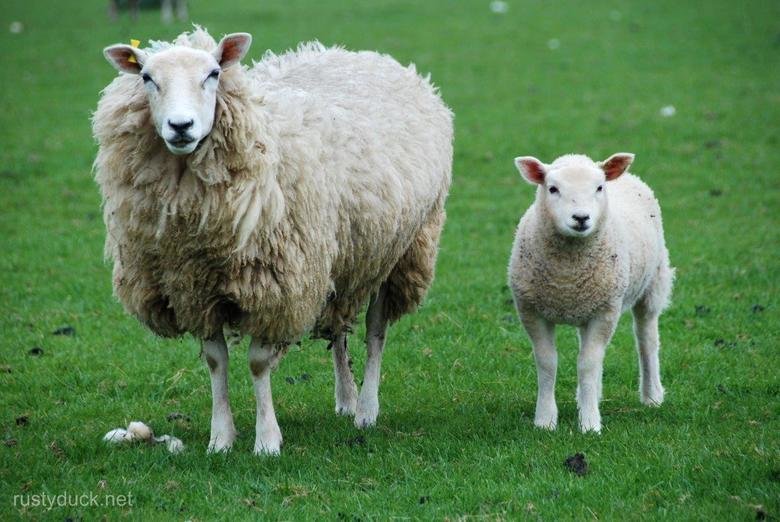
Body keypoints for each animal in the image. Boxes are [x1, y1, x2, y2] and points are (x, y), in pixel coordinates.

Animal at [93, 27, 453, 455]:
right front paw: (221, 438)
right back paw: (346, 400)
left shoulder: (276, 284)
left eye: (213, 73)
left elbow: (258, 363)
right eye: (147, 77)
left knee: (375, 330)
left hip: (400, 250)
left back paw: (366, 409)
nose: (181, 126)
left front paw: (267, 441)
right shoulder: (195, 288)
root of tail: (365, 55)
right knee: (339, 330)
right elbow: (215, 361)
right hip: (336, 259)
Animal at [508, 153, 674, 433]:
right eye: (553, 189)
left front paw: (589, 424)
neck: (567, 277)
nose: (581, 218)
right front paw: (545, 420)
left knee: (647, 340)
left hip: (652, 284)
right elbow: (548, 362)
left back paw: (652, 395)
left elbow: (587, 363)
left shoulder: (605, 311)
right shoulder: (531, 311)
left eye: (598, 187)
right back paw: (592, 395)